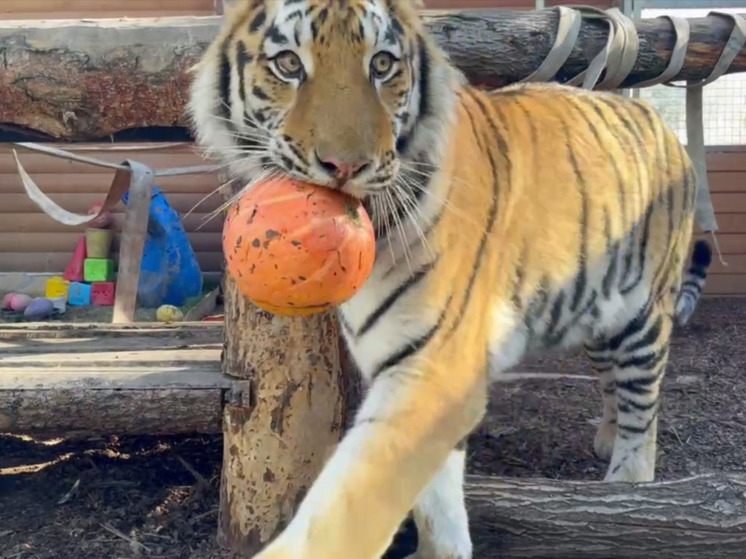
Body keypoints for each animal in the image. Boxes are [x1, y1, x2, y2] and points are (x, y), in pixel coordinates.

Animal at [186, 1, 708, 559]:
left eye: (382, 65)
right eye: (288, 64)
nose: (345, 165)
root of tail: (662, 124)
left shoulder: (435, 365)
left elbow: (357, 498)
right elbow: (434, 499)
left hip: (644, 310)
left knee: (643, 399)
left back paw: (628, 478)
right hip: (594, 307)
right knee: (613, 378)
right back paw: (607, 435)